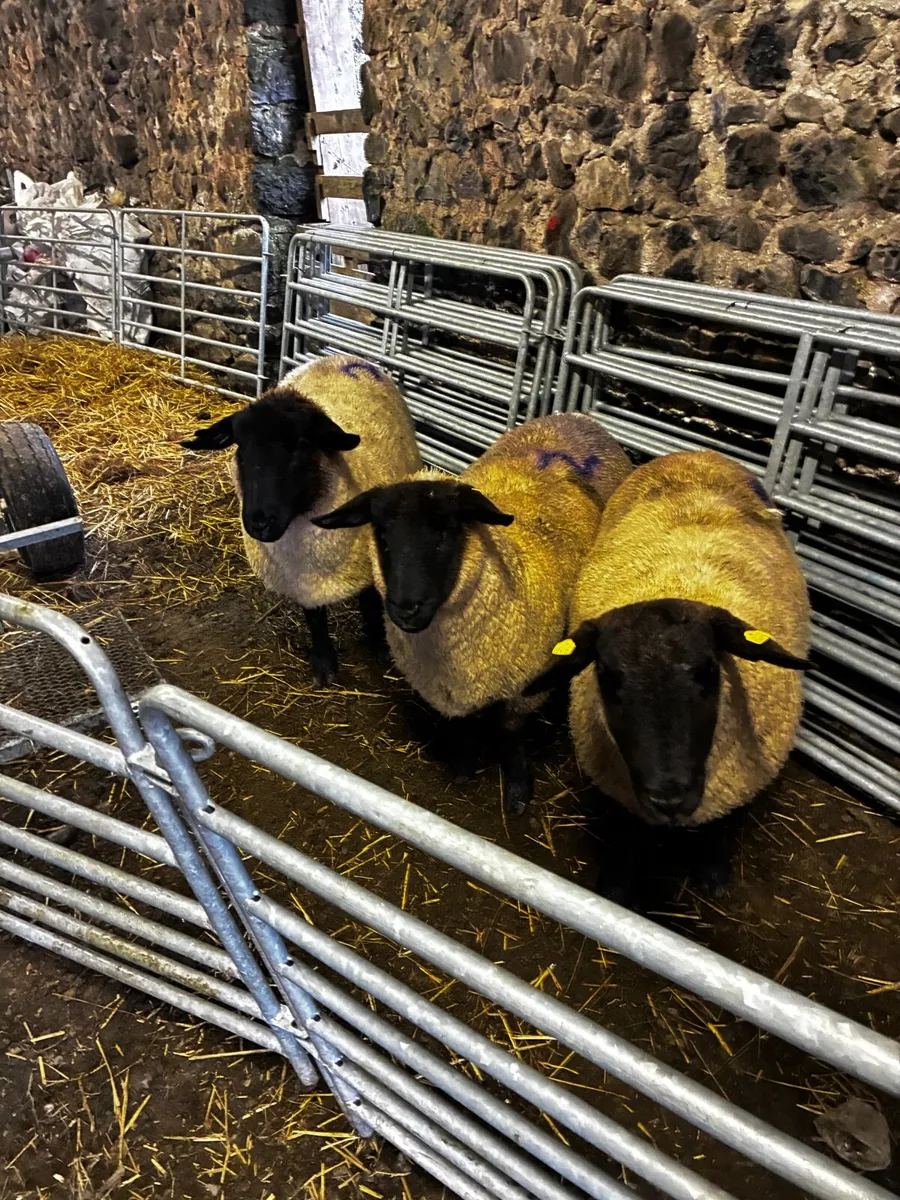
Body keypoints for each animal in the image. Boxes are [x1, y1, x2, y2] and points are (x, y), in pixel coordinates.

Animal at [181, 356, 422, 685]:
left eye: (298, 444)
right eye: (240, 447)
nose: (259, 521)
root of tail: (345, 357)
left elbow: (370, 603)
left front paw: (378, 647)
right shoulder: (301, 579)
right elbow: (314, 616)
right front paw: (324, 663)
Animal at [313, 412, 633, 813]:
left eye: (447, 531)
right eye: (381, 533)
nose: (406, 607)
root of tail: (577, 416)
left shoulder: (523, 684)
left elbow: (511, 734)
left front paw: (518, 792)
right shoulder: (454, 686)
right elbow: (463, 728)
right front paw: (464, 768)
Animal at [525, 449, 811, 901]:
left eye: (709, 669)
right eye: (607, 675)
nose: (669, 798)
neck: (679, 585)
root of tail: (697, 453)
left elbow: (719, 827)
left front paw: (714, 874)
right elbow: (627, 837)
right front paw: (614, 887)